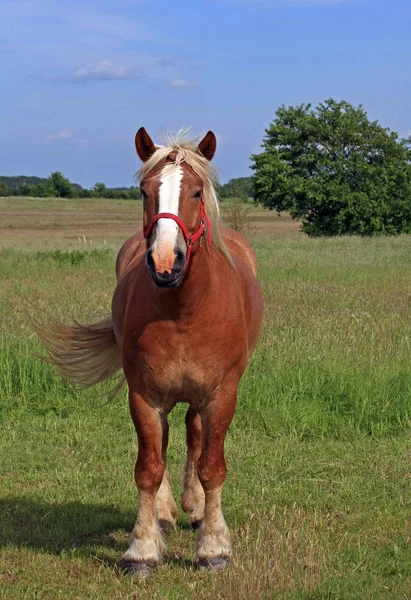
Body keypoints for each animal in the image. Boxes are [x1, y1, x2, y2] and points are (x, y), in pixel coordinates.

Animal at [37, 127, 264, 576]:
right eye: (145, 191)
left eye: (196, 192)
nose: (164, 262)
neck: (184, 310)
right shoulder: (143, 396)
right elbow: (148, 467)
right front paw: (142, 548)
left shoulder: (221, 396)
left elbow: (212, 466)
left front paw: (213, 545)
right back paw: (164, 513)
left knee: (195, 434)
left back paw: (196, 509)